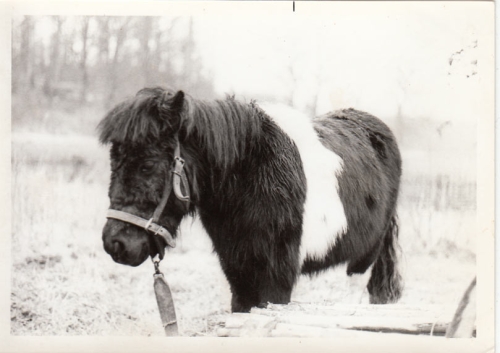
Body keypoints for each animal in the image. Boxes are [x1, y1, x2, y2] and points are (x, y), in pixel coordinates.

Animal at [99, 86, 404, 312]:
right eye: (113, 161)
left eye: (147, 166)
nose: (115, 243)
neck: (252, 172)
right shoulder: (239, 274)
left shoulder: (276, 281)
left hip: (366, 262)